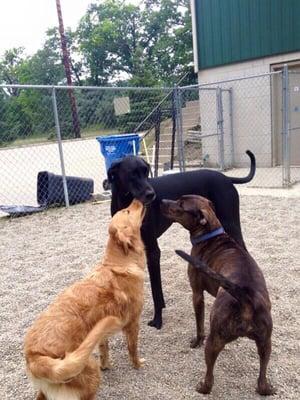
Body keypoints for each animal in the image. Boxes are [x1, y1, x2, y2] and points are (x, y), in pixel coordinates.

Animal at [106, 150, 254, 328]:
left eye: (146, 172)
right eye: (132, 174)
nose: (151, 195)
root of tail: (225, 177)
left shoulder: (153, 251)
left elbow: (155, 289)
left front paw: (158, 319)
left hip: (231, 225)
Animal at [161, 195, 276, 396]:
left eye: (180, 205)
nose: (160, 201)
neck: (212, 234)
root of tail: (245, 299)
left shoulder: (197, 293)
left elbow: (199, 324)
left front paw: (196, 341)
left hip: (215, 340)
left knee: (210, 376)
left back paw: (203, 387)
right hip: (265, 343)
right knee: (262, 380)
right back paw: (267, 388)